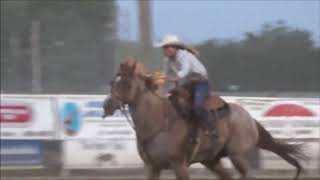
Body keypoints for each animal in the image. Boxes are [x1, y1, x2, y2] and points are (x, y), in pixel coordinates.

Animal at [104, 58, 304, 179]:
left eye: (126, 83)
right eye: (113, 81)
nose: (106, 105)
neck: (158, 122)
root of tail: (249, 118)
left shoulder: (179, 165)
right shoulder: (151, 167)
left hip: (237, 155)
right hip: (212, 160)